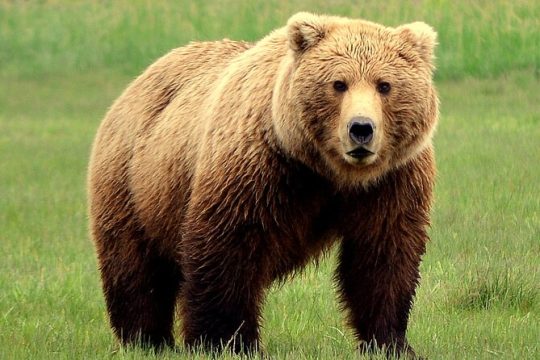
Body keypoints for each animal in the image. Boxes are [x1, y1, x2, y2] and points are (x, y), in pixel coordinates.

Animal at [87, 11, 438, 358]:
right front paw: (226, 341)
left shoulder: (391, 180)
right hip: (136, 183)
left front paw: (392, 342)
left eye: (384, 85)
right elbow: (228, 248)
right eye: (339, 83)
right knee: (137, 268)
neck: (329, 172)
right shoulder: (259, 170)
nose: (361, 129)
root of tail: (138, 80)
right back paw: (146, 339)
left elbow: (382, 255)